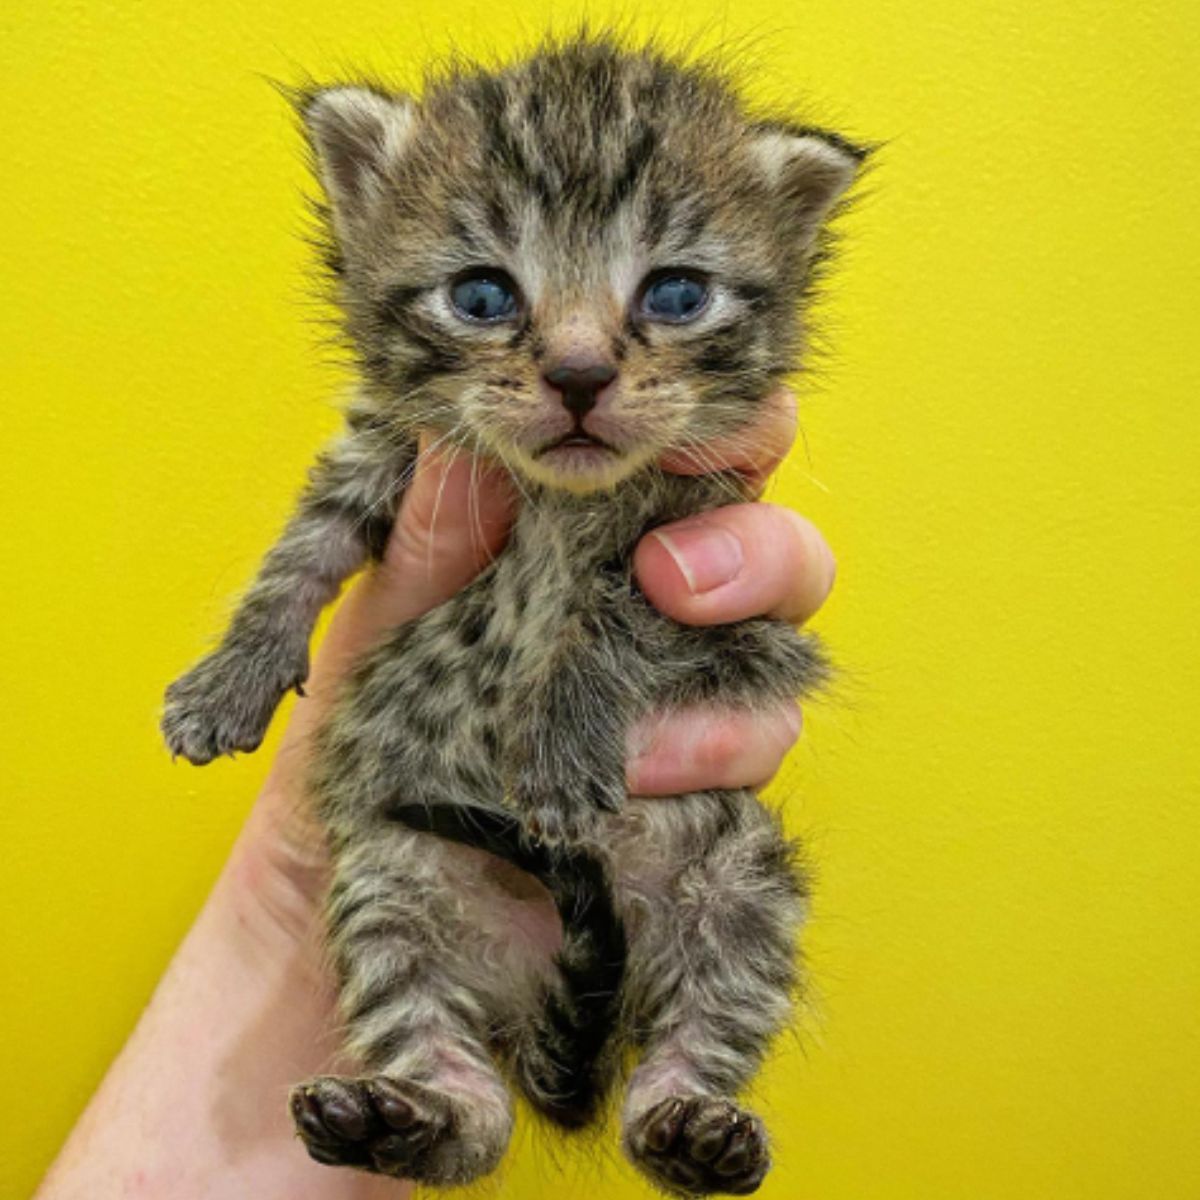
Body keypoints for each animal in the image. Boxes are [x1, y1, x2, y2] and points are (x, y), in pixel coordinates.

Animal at [164, 35, 868, 1190]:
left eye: (677, 293)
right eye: (483, 295)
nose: (579, 376)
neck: (558, 499)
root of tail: (545, 988)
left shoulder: (718, 567)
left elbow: (618, 613)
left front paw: (559, 737)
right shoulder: (385, 450)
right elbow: (303, 548)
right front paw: (230, 675)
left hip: (742, 875)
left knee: (687, 1048)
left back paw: (695, 1128)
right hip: (392, 879)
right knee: (470, 1108)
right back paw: (400, 1119)